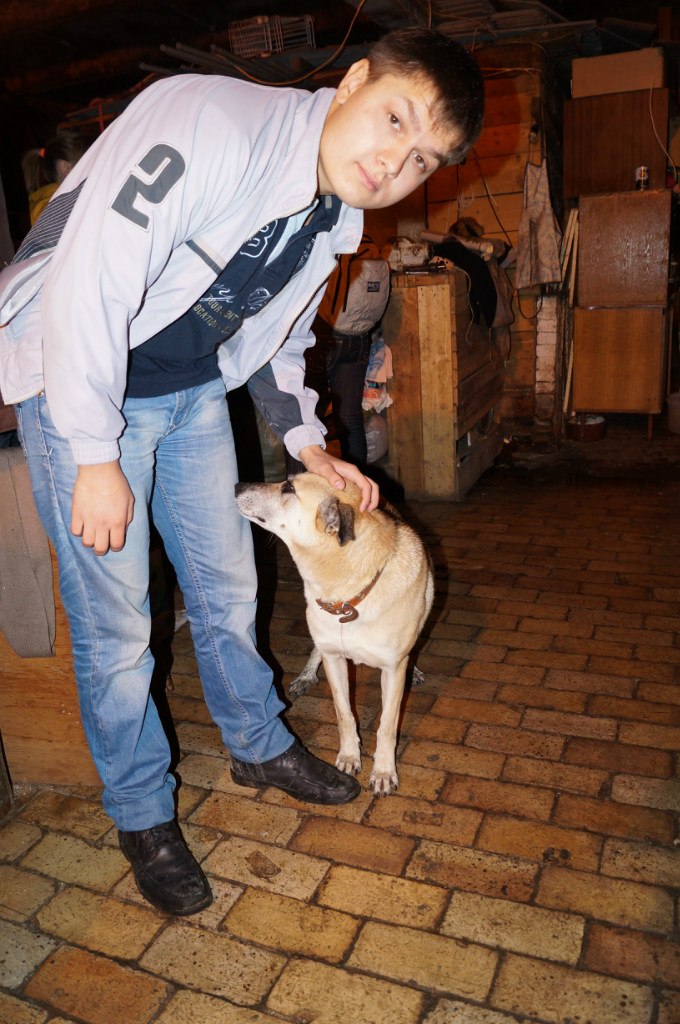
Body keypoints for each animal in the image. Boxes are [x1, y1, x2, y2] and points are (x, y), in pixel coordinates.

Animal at [235, 473, 433, 795]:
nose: (237, 485)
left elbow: (387, 725)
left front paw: (383, 771)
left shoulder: (392, 670)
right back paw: (305, 677)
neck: (346, 594)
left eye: (288, 488)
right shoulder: (334, 659)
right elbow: (344, 714)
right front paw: (350, 756)